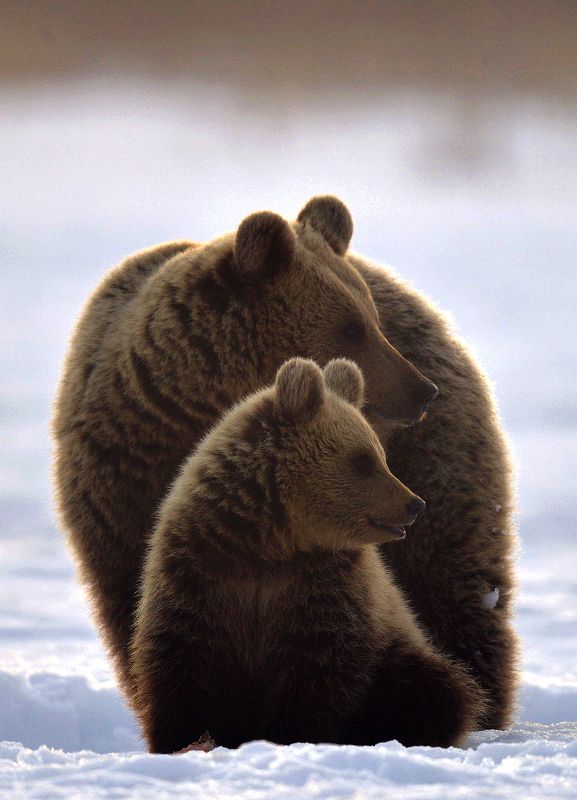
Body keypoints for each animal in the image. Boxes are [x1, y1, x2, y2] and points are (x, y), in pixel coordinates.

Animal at [130, 357, 487, 752]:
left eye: (380, 455)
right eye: (363, 460)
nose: (414, 504)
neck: (272, 545)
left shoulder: (324, 586)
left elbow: (319, 667)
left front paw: (294, 736)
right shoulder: (201, 570)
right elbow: (182, 658)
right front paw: (185, 740)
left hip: (398, 656)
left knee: (437, 688)